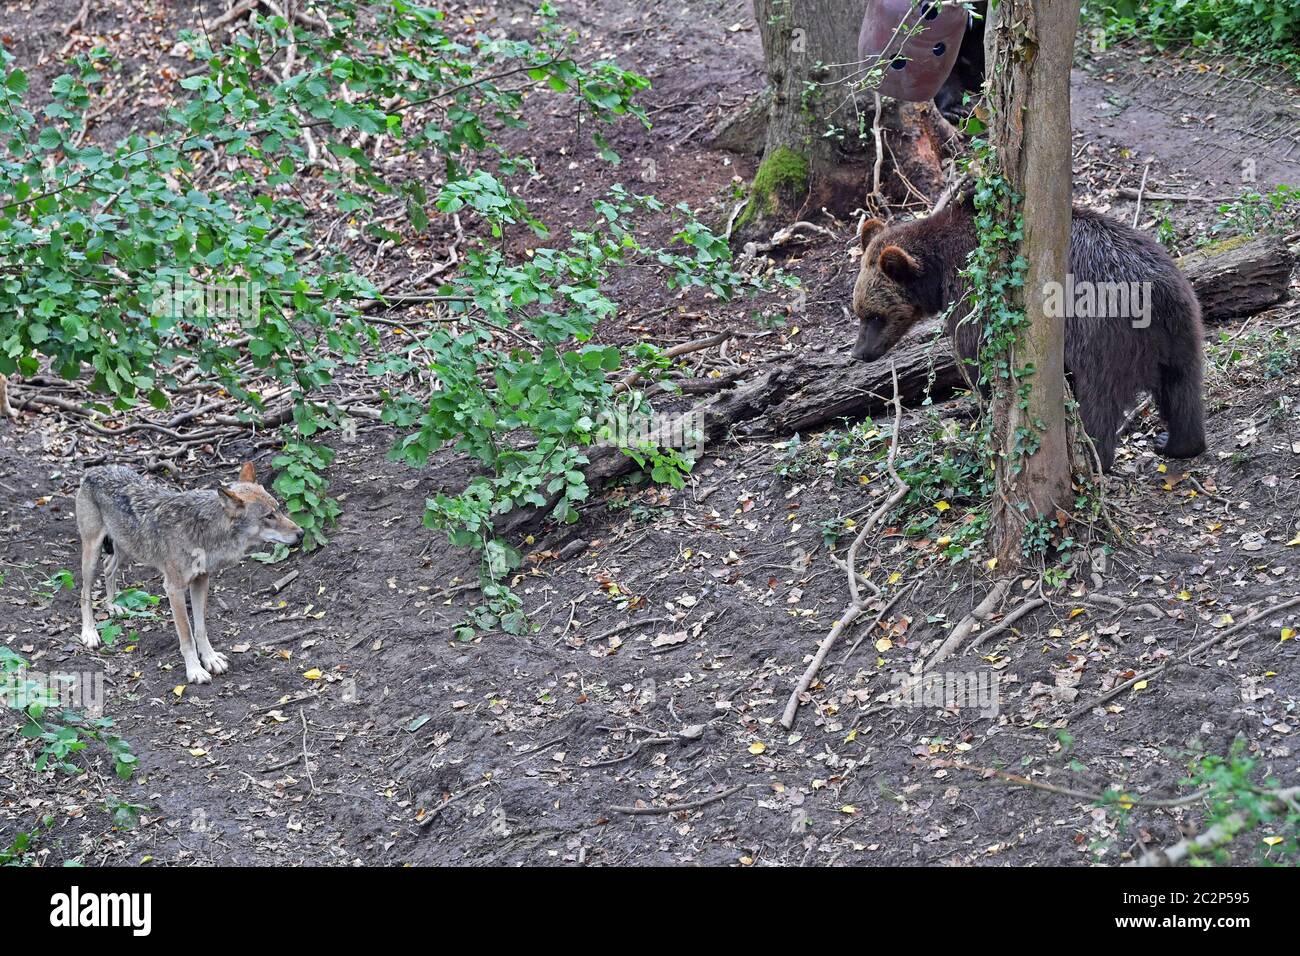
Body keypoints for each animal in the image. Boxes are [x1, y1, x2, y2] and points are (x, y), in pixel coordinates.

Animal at [76, 462, 303, 684]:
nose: (301, 533)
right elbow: (186, 636)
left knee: (108, 567)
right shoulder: (174, 589)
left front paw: (210, 659)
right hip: (93, 552)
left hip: (126, 548)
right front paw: (195, 670)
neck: (204, 532)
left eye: (279, 509)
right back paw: (90, 633)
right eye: (269, 516)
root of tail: (93, 470)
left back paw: (113, 605)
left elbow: (200, 630)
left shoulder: (202, 580)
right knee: (84, 592)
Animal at [849, 197, 1207, 471]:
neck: (939, 272)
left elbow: (979, 359)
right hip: (1182, 321)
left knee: (1098, 399)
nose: (859, 352)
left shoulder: (976, 296)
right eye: (859, 311)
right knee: (1182, 387)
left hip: (1100, 334)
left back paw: (1093, 458)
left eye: (875, 316)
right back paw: (1177, 442)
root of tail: (1150, 292)